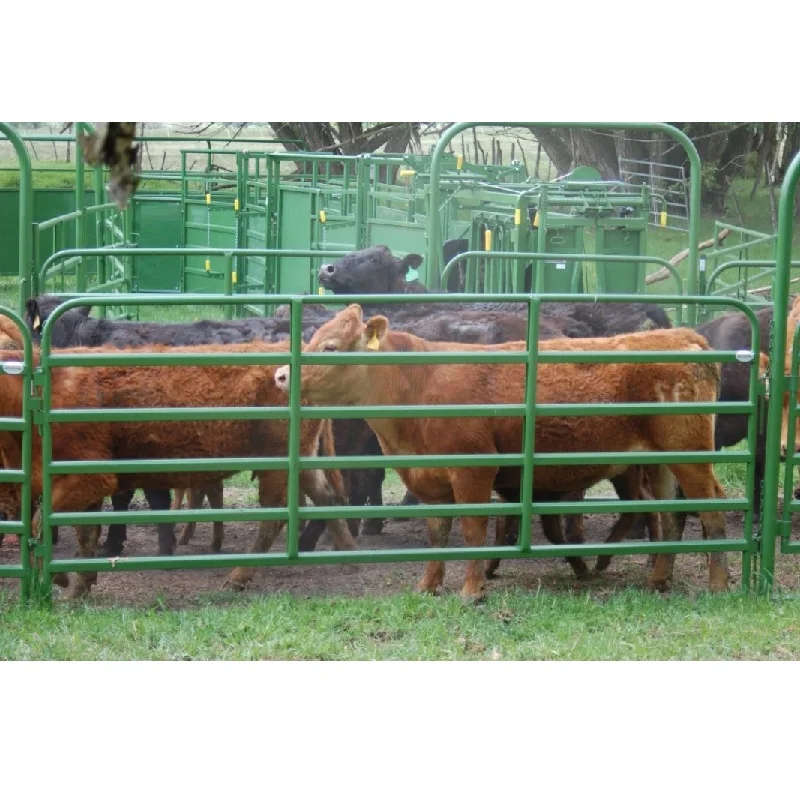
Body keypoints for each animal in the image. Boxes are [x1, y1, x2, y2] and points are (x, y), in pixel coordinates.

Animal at [0, 340, 357, 597]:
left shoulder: (89, 477)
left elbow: (40, 524)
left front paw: (61, 578)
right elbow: (85, 534)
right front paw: (80, 587)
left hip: (276, 466)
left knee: (275, 519)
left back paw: (238, 577)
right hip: (301, 463)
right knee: (327, 499)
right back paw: (350, 557)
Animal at [274, 304, 728, 601]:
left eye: (330, 347)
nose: (280, 374)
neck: (418, 382)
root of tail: (684, 337)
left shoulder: (474, 472)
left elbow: (474, 532)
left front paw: (471, 591)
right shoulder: (431, 481)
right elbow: (437, 535)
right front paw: (428, 585)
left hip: (690, 455)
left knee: (711, 508)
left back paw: (718, 583)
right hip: (661, 462)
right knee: (668, 515)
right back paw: (658, 579)